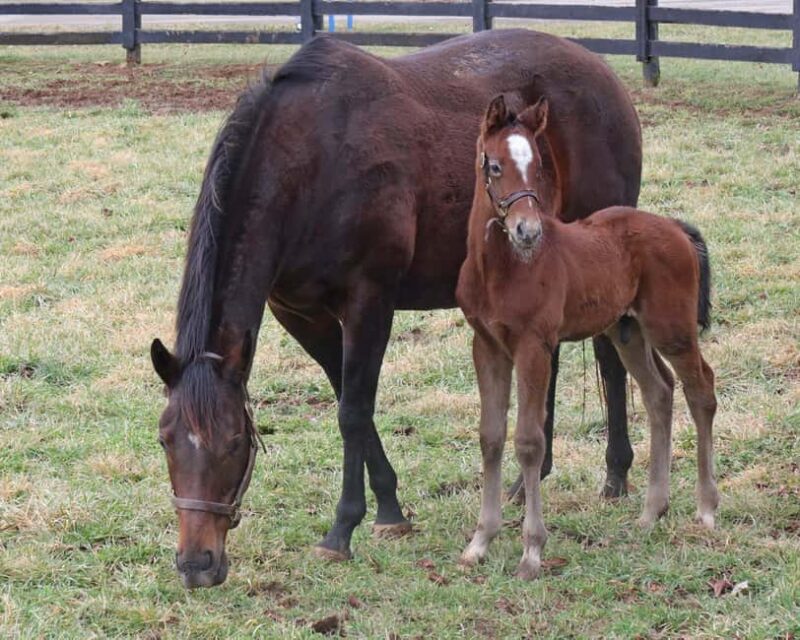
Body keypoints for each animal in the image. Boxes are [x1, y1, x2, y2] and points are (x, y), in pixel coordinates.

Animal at [149, 30, 643, 588]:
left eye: (234, 441)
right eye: (165, 440)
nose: (196, 565)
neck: (311, 159)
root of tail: (604, 75)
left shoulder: (370, 300)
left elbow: (352, 410)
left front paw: (343, 530)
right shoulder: (302, 316)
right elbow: (350, 402)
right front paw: (389, 508)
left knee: (609, 356)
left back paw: (616, 472)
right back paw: (526, 481)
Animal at [456, 95, 719, 579]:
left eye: (538, 164)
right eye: (495, 166)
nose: (528, 230)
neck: (500, 269)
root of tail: (675, 227)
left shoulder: (535, 346)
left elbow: (529, 441)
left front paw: (532, 551)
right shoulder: (486, 346)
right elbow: (491, 437)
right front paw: (480, 542)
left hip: (670, 327)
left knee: (701, 389)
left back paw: (707, 507)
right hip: (627, 330)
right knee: (659, 392)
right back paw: (652, 511)